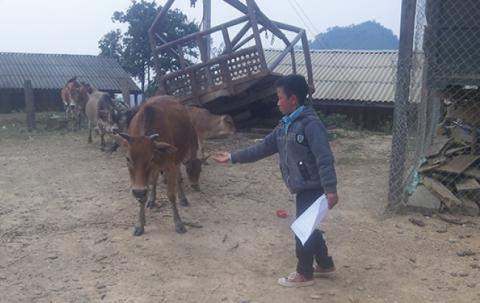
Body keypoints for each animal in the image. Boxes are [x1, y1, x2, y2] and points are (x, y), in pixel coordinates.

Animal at [120, 97, 204, 238]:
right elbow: (143, 196)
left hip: (178, 158)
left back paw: (183, 198)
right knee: (154, 181)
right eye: (128, 159)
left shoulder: (169, 166)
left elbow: (171, 195)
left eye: (150, 158)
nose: (138, 191)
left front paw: (179, 223)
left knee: (178, 178)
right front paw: (140, 224)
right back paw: (152, 200)